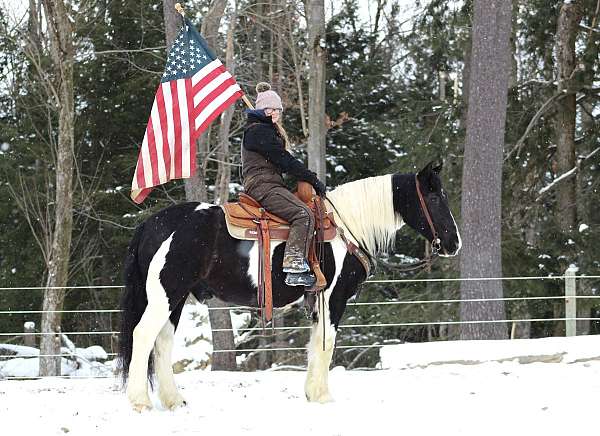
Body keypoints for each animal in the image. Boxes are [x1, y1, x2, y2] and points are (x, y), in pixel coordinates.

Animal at [119, 159, 462, 408]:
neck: (345, 228)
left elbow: (314, 345)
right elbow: (327, 344)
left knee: (162, 343)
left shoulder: (318, 303)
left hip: (175, 299)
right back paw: (140, 401)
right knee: (143, 335)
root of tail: (151, 224)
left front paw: (312, 393)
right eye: (434, 196)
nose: (453, 243)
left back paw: (174, 400)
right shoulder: (333, 298)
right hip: (165, 294)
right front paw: (322, 397)